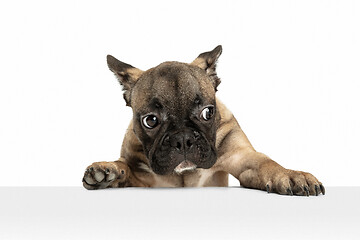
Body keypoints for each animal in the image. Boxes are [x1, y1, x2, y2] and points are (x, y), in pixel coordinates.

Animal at [82, 46, 324, 196]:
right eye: (150, 120)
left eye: (208, 113)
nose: (182, 139)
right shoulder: (144, 177)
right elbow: (125, 166)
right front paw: (108, 171)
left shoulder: (243, 159)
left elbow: (267, 163)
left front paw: (291, 175)